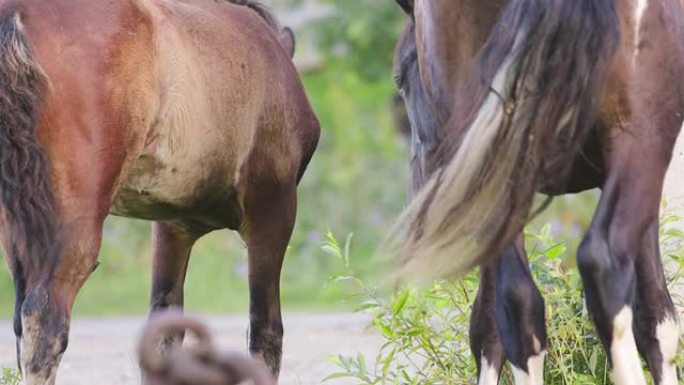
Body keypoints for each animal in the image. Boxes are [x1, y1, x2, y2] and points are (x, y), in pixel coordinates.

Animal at [392, 0, 680, 384]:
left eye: (400, 80)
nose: (419, 185)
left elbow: (487, 326)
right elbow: (656, 315)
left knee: (516, 304)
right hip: (639, 134)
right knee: (601, 263)